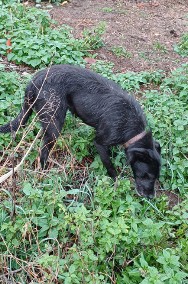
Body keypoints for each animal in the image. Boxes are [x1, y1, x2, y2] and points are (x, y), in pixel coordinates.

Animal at [0, 64, 161, 197]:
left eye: (156, 177)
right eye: (147, 175)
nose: (151, 197)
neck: (132, 126)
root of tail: (33, 82)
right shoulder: (100, 143)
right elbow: (109, 166)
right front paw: (116, 183)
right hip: (54, 125)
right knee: (43, 153)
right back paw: (45, 174)